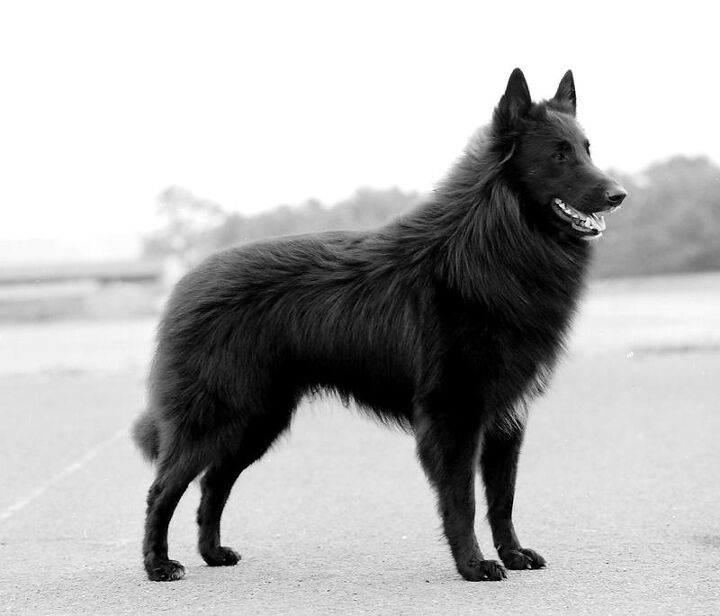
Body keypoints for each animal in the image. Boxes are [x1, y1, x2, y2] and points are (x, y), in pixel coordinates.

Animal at [134, 70, 624, 580]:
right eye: (558, 154)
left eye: (587, 148)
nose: (618, 195)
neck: (492, 245)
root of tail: (185, 283)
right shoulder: (455, 414)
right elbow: (463, 501)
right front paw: (474, 565)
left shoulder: (506, 418)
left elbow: (502, 499)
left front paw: (513, 554)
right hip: (219, 418)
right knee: (163, 490)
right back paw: (158, 565)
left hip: (256, 421)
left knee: (213, 484)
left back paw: (212, 553)